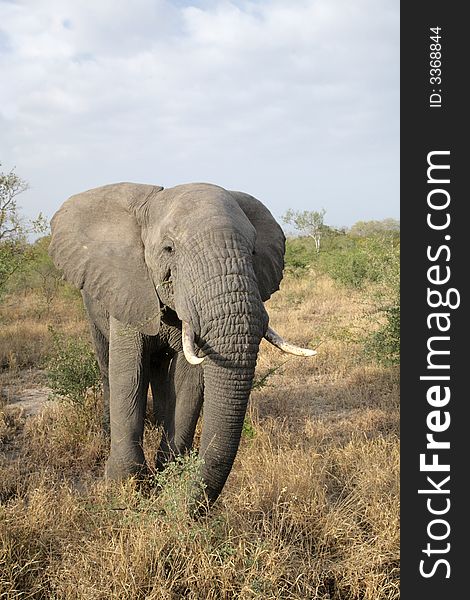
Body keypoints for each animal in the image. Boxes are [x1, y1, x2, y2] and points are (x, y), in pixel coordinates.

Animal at [48, 180, 316, 504]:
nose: (187, 507)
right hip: (92, 303)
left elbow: (189, 380)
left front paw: (169, 476)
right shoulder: (129, 287)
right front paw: (125, 485)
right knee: (107, 363)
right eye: (169, 249)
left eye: (253, 251)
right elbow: (128, 372)